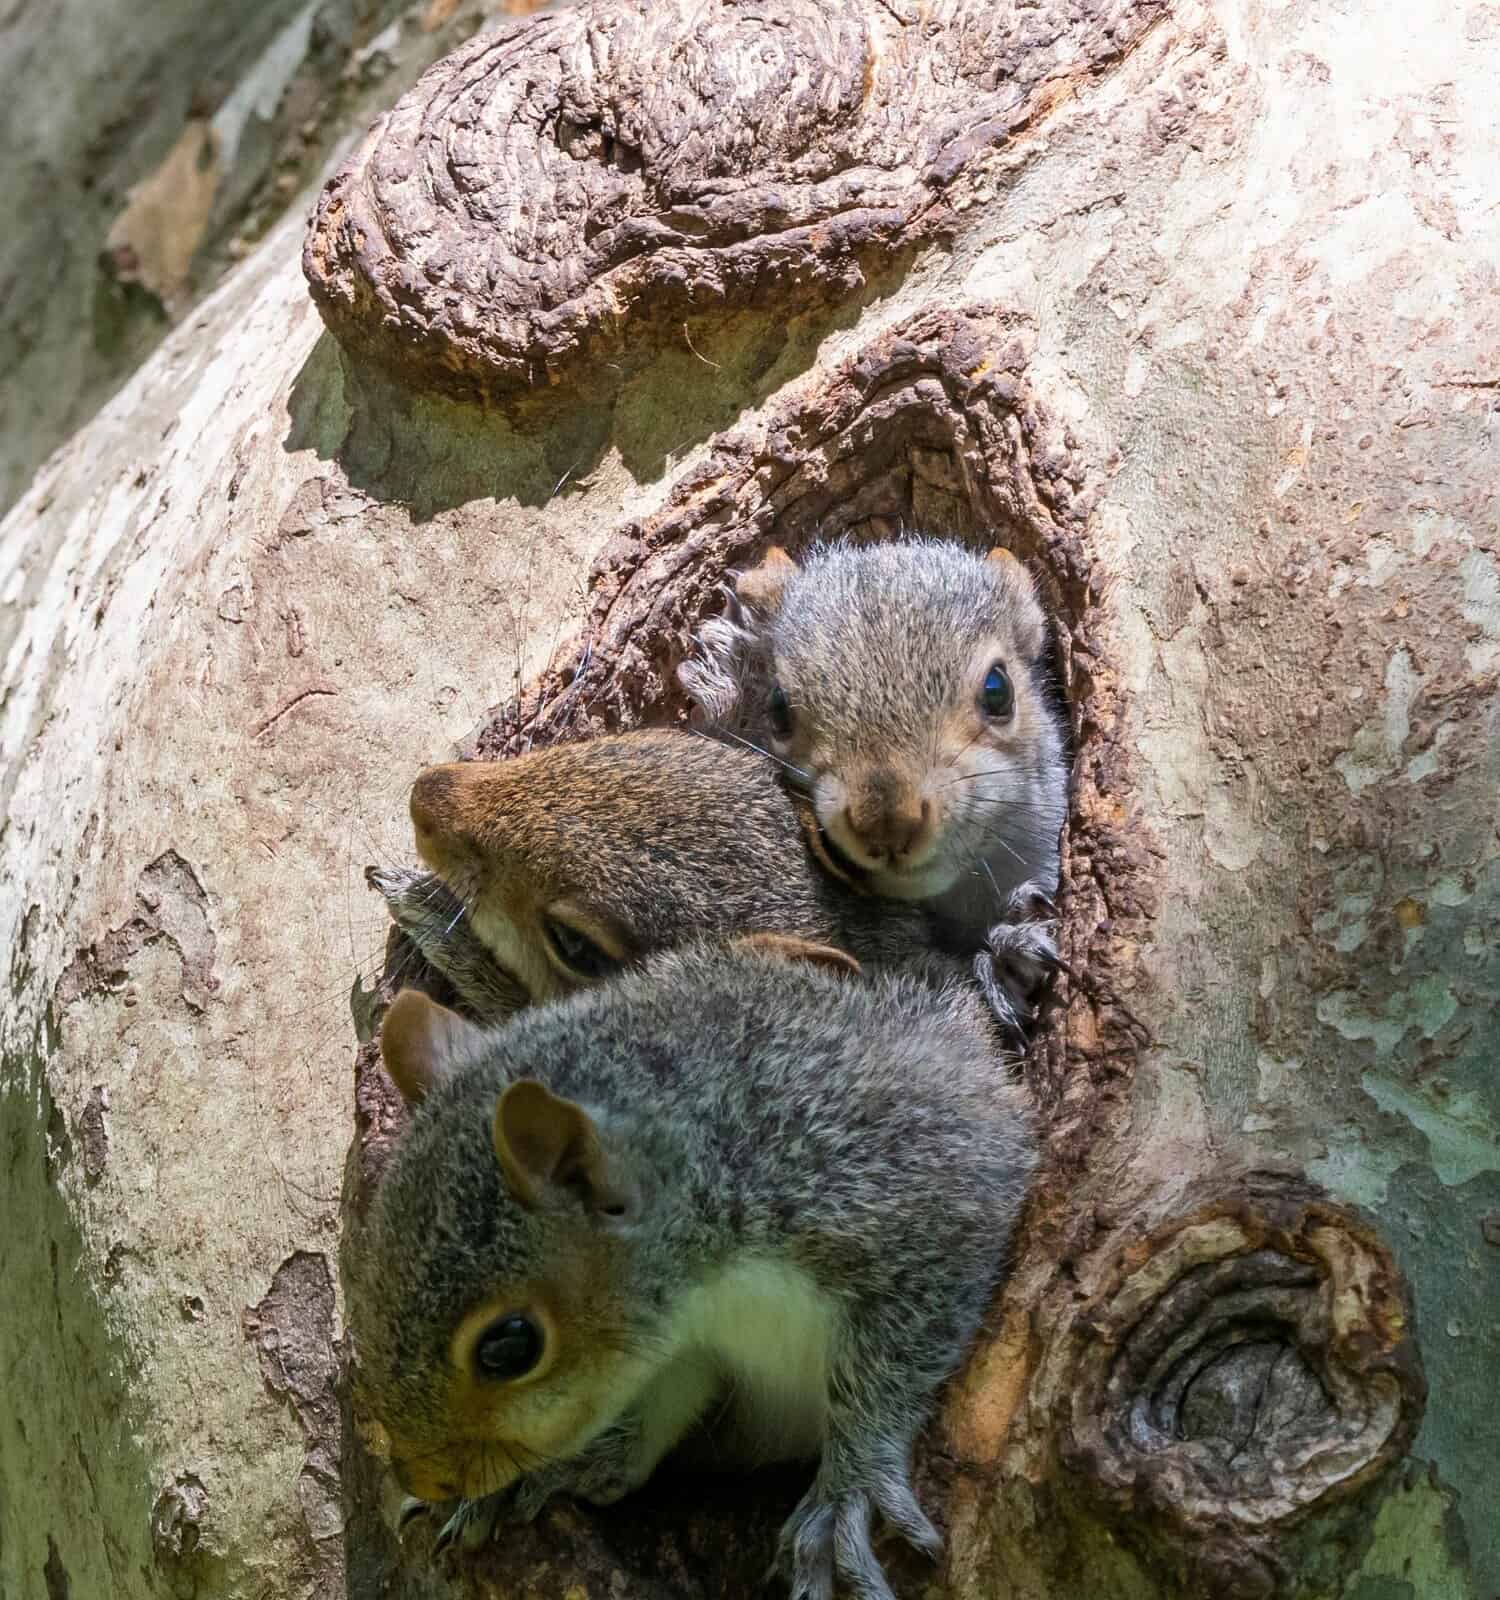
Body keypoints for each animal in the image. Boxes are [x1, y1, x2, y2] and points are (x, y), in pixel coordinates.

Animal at [351, 934, 1036, 1600]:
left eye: (509, 1346)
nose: (424, 1477)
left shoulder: (904, 1181)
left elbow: (893, 1356)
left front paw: (852, 1486)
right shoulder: (691, 1346)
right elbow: (666, 1398)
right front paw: (573, 1464)